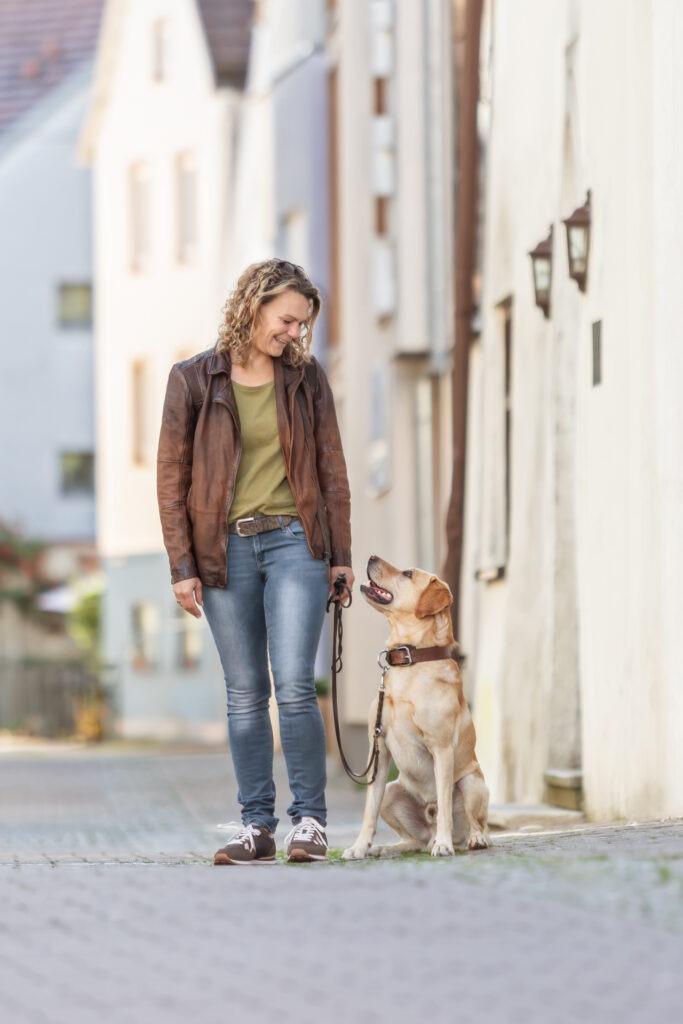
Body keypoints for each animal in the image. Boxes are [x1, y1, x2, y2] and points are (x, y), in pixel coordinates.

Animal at [344, 557, 489, 860]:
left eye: (408, 574)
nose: (371, 557)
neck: (410, 662)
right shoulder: (378, 749)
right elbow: (368, 812)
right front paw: (359, 847)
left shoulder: (442, 749)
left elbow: (444, 805)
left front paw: (444, 845)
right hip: (391, 791)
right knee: (415, 841)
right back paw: (390, 847)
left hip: (472, 783)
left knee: (477, 825)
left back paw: (468, 839)